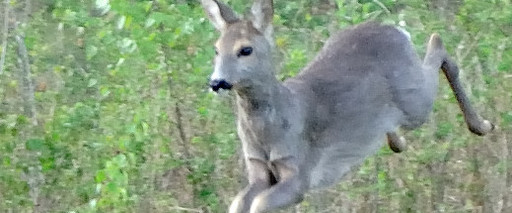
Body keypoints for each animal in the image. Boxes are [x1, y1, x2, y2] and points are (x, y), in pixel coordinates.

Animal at [201, 0, 496, 212]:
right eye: (216, 49)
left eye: (245, 50)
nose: (216, 82)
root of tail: (395, 30)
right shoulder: (257, 168)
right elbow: (238, 203)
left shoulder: (299, 171)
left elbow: (259, 203)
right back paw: (397, 141)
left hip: (414, 100)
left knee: (437, 44)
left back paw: (483, 124)